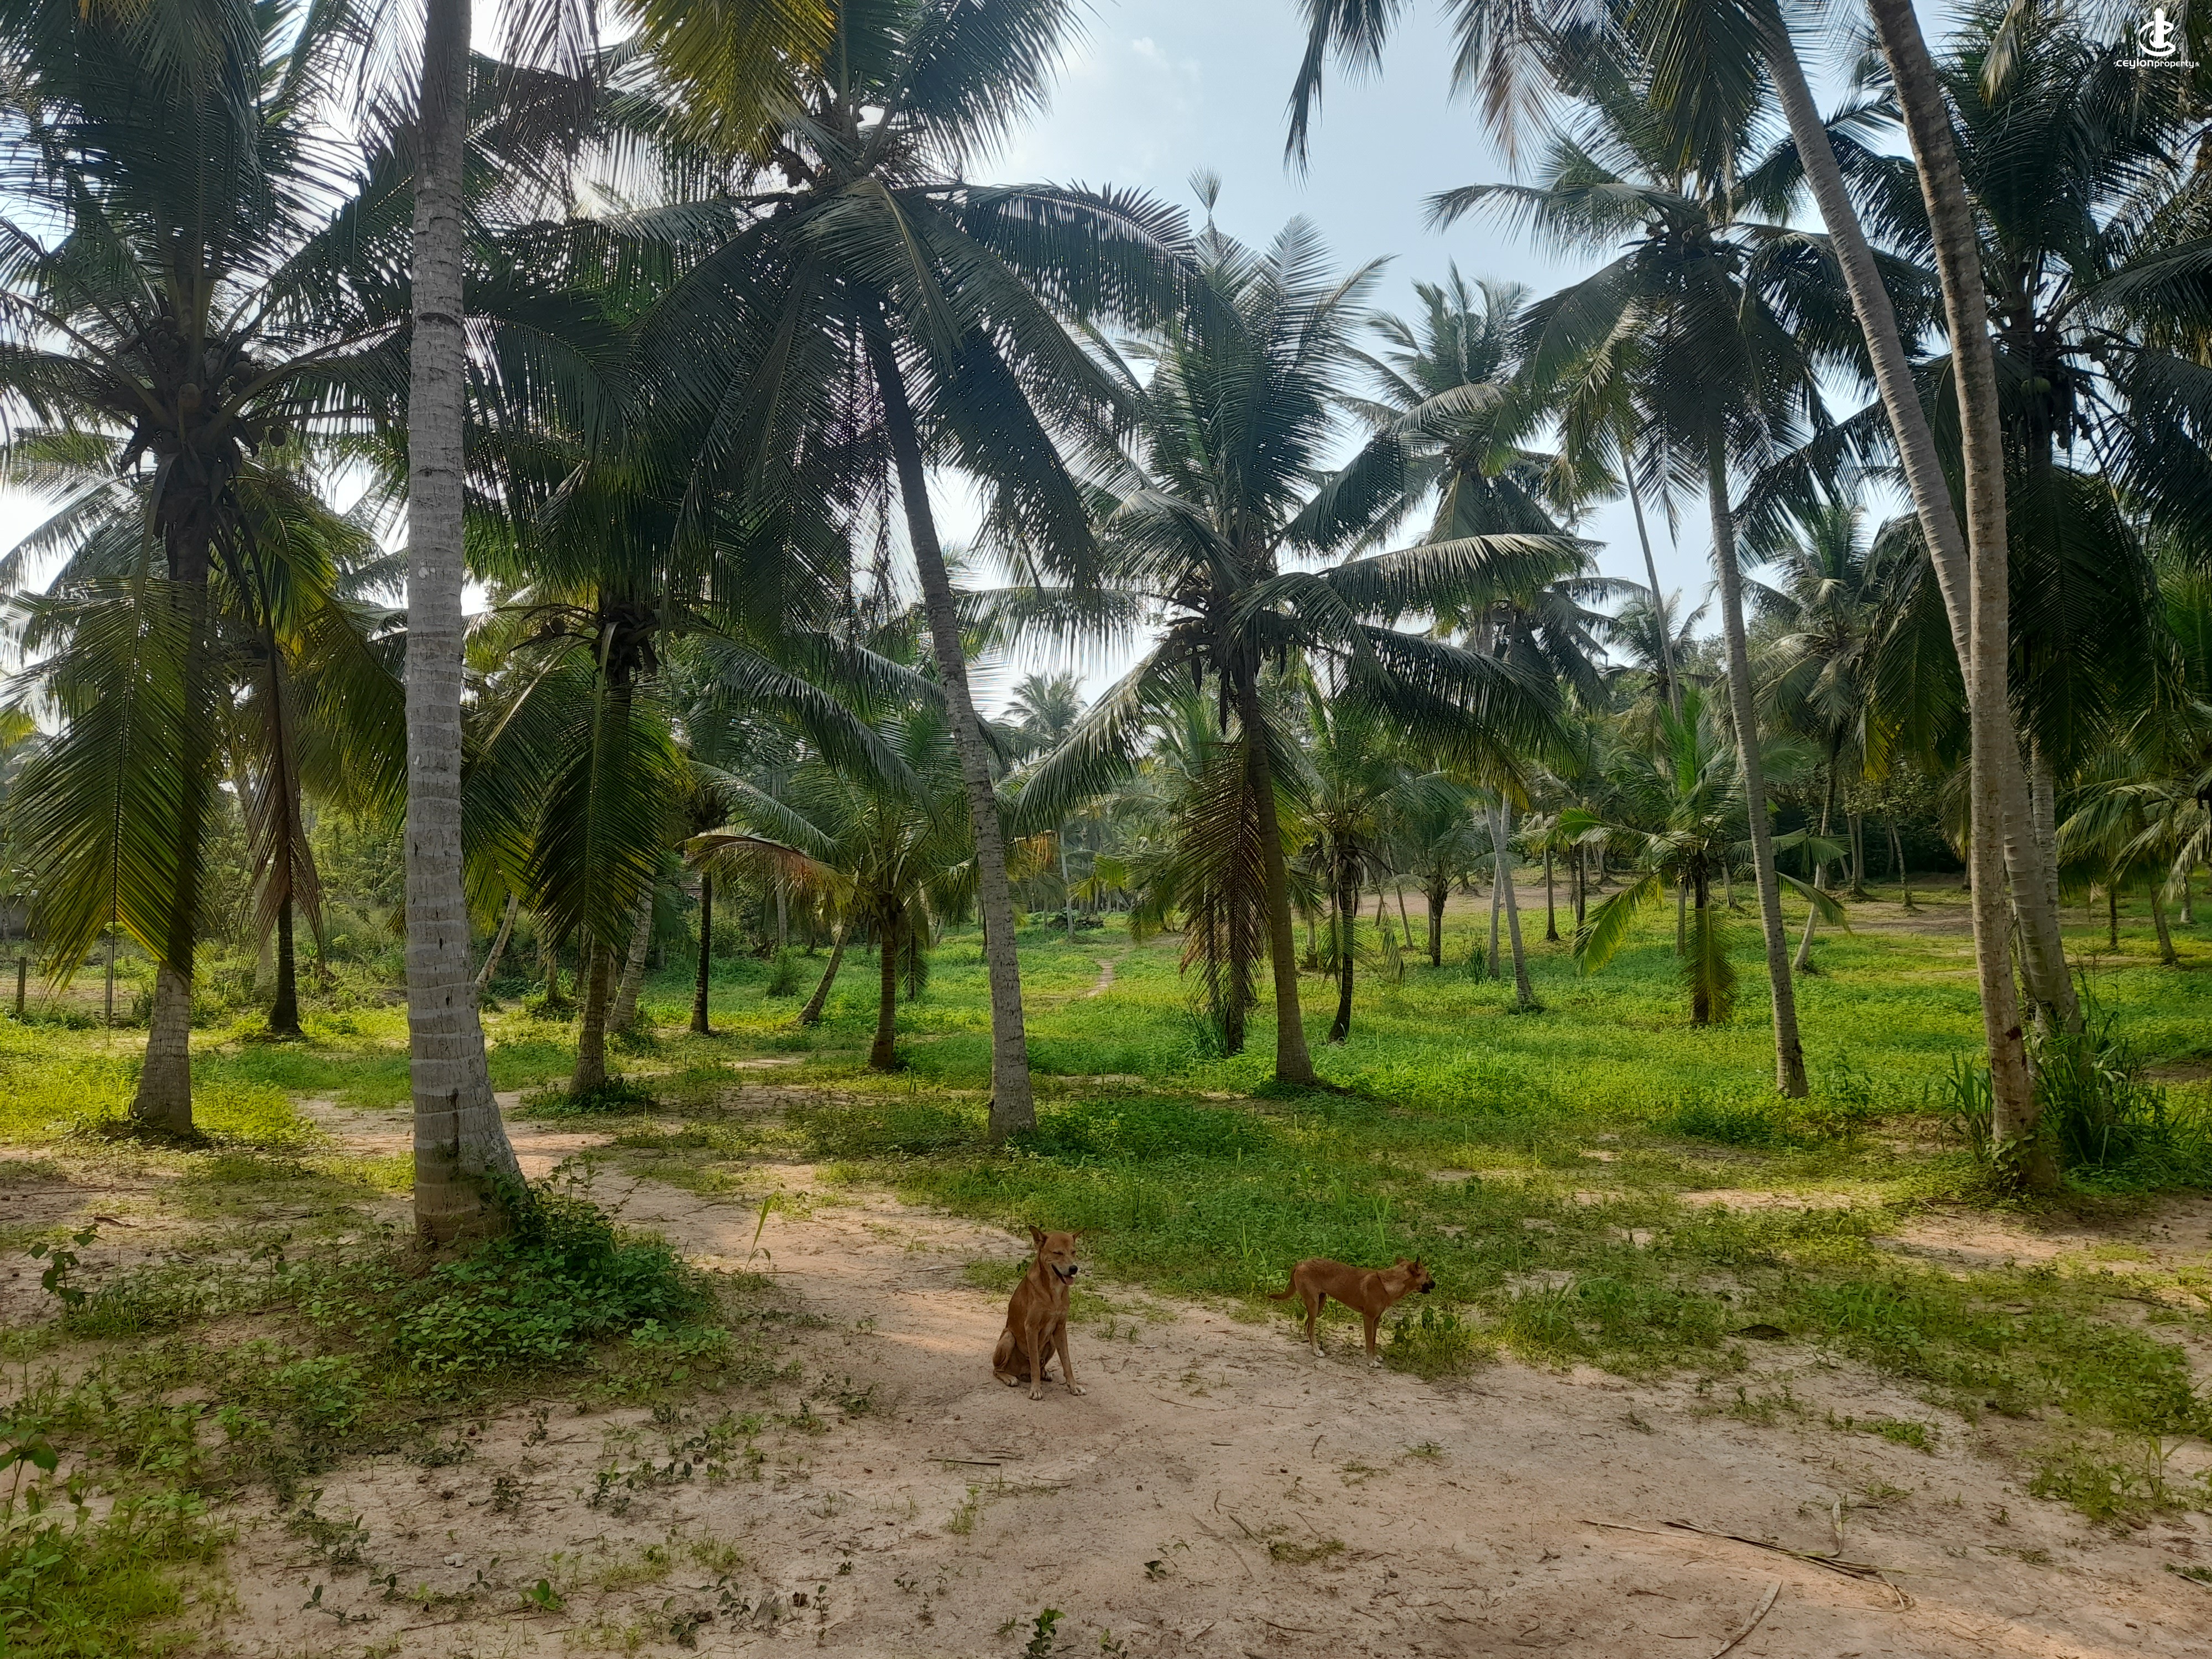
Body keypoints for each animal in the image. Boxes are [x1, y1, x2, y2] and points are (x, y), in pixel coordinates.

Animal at [992, 1228, 1087, 1401]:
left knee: (1042, 1364)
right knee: (998, 1369)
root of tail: (1021, 1372)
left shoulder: (1060, 1329)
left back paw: (1045, 1373)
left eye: (1074, 1252)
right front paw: (1035, 1389)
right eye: (1058, 1253)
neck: (1054, 1290)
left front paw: (1074, 1386)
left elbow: (1067, 1362)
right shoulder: (1031, 1328)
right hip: (1009, 1337)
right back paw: (1009, 1378)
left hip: (1052, 1341)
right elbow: (1035, 1364)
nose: (1074, 1269)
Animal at [1269, 1257, 1435, 1368]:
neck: (1388, 1284)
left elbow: (1373, 1341)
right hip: (1314, 1304)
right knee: (1310, 1328)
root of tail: (1302, 1263)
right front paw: (1371, 1362)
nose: (1435, 1284)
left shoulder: (1376, 1320)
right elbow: (1368, 1343)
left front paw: (1375, 1357)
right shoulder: (1368, 1318)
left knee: (1307, 1326)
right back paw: (1317, 1351)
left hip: (1320, 1302)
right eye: (1428, 1275)